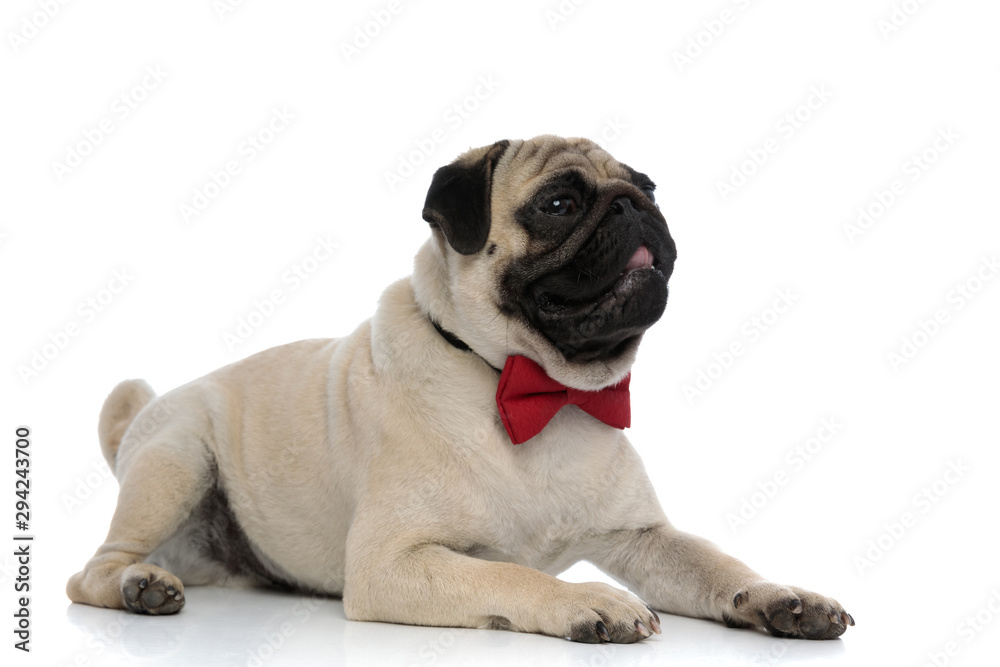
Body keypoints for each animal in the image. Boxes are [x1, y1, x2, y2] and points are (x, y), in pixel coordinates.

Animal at [68, 136, 852, 640]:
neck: (531, 384)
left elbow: (717, 564)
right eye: (560, 204)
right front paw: (585, 600)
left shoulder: (644, 538)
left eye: (649, 187)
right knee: (91, 571)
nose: (634, 205)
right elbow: (508, 576)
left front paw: (782, 597)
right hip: (177, 460)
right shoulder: (391, 563)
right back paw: (139, 587)